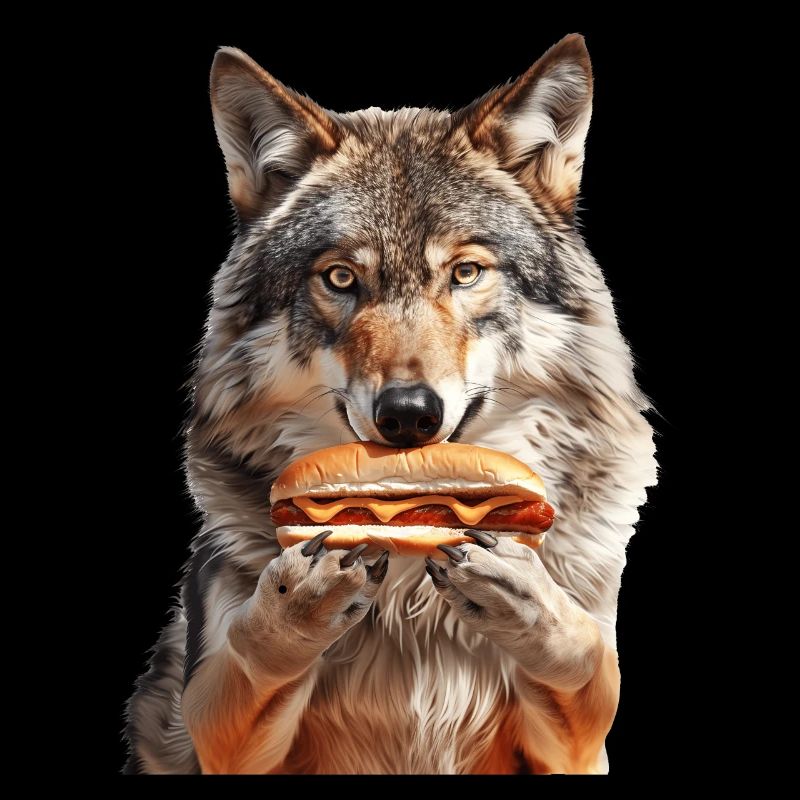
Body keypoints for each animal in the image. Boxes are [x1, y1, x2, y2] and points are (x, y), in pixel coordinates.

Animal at [123, 33, 657, 774]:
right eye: (341, 278)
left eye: (466, 273)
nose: (408, 414)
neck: (411, 602)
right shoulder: (220, 737)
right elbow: (253, 654)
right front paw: (300, 598)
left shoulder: (575, 747)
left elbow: (581, 661)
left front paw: (526, 597)